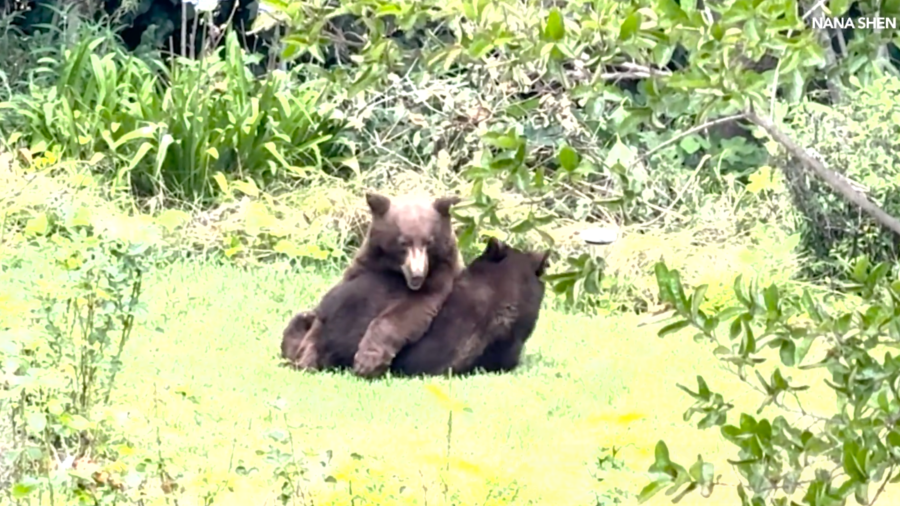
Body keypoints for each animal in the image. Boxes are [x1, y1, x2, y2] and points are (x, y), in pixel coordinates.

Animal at [282, 192, 464, 378]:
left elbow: (410, 312)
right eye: (403, 243)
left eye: (429, 242)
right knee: (299, 321)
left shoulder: (439, 276)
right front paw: (307, 356)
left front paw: (368, 360)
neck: (395, 271)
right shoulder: (364, 265)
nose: (417, 274)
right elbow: (328, 313)